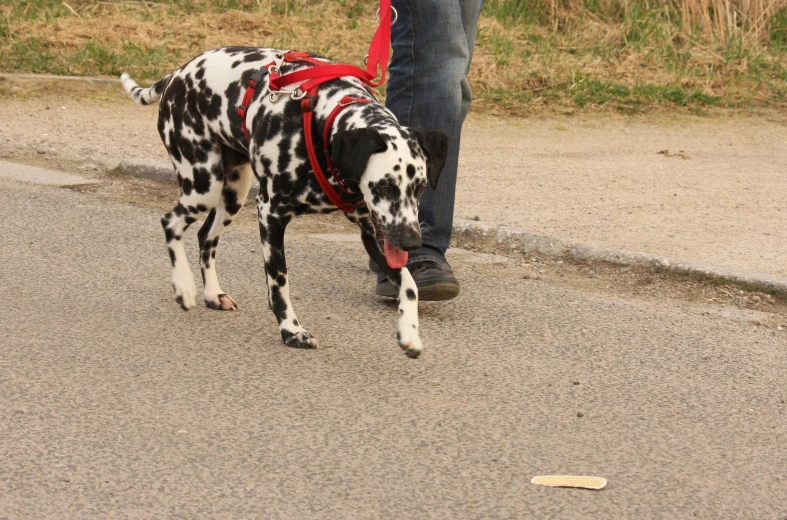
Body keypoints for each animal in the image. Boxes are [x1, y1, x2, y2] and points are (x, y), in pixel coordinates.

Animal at [120, 47, 446, 358]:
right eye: (386, 186)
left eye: (419, 187)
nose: (412, 242)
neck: (322, 124)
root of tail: (176, 75)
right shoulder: (271, 214)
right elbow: (279, 283)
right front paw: (292, 330)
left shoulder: (375, 233)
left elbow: (409, 285)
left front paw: (409, 333)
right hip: (203, 186)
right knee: (171, 222)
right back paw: (184, 287)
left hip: (233, 194)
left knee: (205, 237)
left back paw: (212, 293)